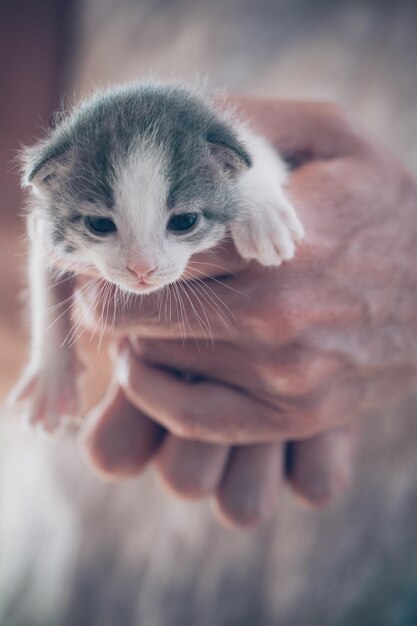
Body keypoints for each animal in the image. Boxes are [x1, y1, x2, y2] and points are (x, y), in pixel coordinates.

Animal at [9, 83, 302, 432]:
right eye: (99, 225)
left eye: (184, 221)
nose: (142, 268)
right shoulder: (46, 230)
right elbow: (44, 282)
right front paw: (51, 379)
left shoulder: (253, 141)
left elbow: (261, 162)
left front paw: (263, 214)